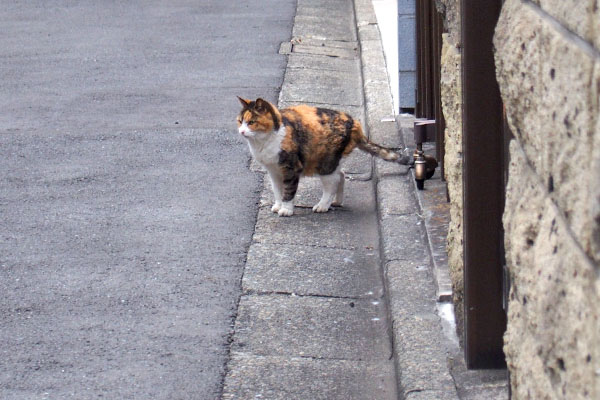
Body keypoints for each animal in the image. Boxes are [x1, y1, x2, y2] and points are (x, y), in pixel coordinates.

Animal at [236, 96, 412, 216]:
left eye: (251, 122)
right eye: (239, 121)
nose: (242, 131)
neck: (264, 142)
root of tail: (355, 123)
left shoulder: (291, 168)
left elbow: (288, 191)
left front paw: (286, 209)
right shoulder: (273, 170)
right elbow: (277, 191)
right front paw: (278, 205)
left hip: (325, 163)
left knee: (332, 183)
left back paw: (322, 206)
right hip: (329, 161)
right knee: (341, 175)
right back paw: (337, 201)